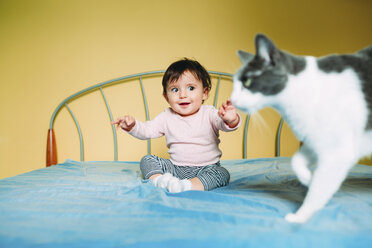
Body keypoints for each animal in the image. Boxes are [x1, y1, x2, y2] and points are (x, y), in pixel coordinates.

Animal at [231, 34, 372, 224]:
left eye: (247, 81)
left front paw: (301, 217)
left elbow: (319, 189)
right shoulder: (315, 140)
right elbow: (296, 160)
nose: (232, 100)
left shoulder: (337, 152)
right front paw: (308, 179)